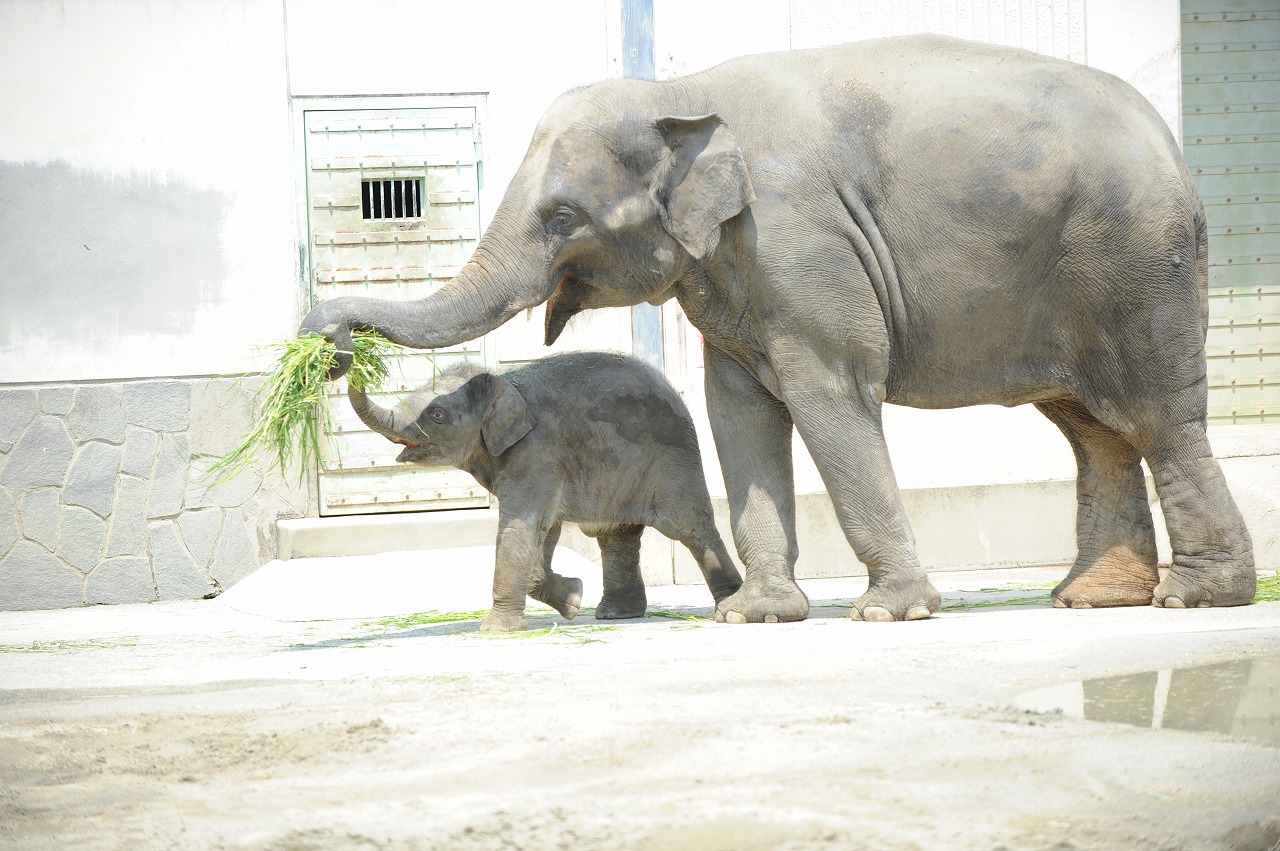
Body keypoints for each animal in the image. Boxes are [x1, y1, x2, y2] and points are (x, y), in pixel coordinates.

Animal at [345, 348, 742, 629]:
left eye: (437, 415)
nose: (354, 352)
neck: (505, 383)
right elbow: (543, 529)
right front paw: (573, 598)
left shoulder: (536, 453)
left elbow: (523, 527)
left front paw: (496, 630)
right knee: (614, 534)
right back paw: (616, 615)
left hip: (674, 456)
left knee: (689, 528)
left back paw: (730, 606)